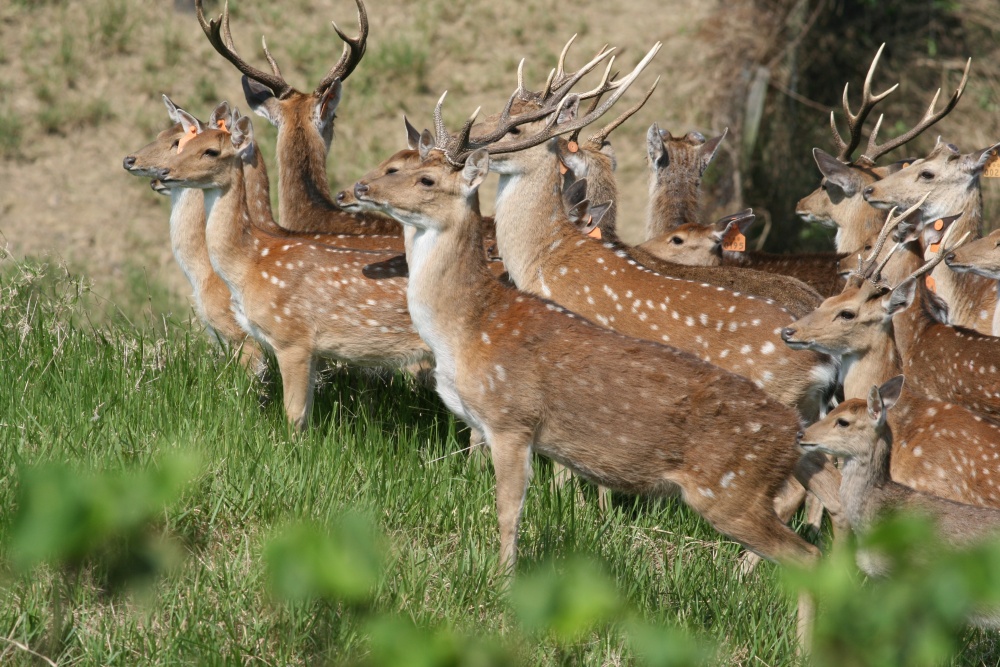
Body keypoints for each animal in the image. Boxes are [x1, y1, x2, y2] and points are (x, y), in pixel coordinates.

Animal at [350, 123, 826, 645]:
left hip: (731, 488)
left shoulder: (512, 419)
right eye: (397, 165)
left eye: (424, 178)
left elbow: (509, 510)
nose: (360, 187)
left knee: (810, 554)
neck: (466, 327)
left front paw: (500, 588)